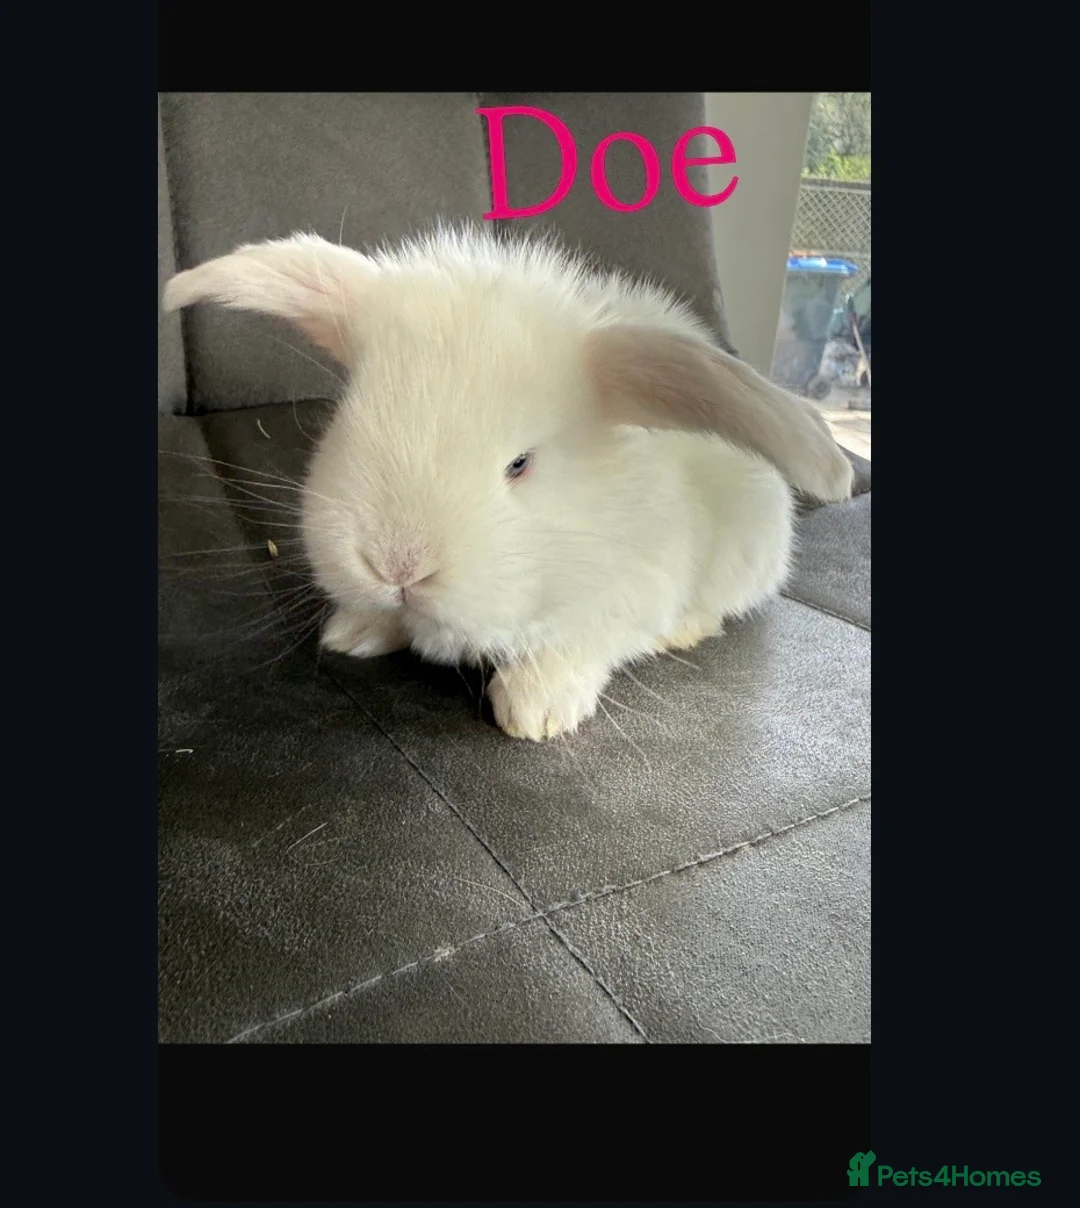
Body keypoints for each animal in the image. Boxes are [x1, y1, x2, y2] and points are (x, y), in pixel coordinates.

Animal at [163, 224, 852, 741]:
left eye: (520, 464)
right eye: (344, 418)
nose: (397, 567)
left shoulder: (628, 596)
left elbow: (577, 646)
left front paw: (535, 711)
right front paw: (354, 632)